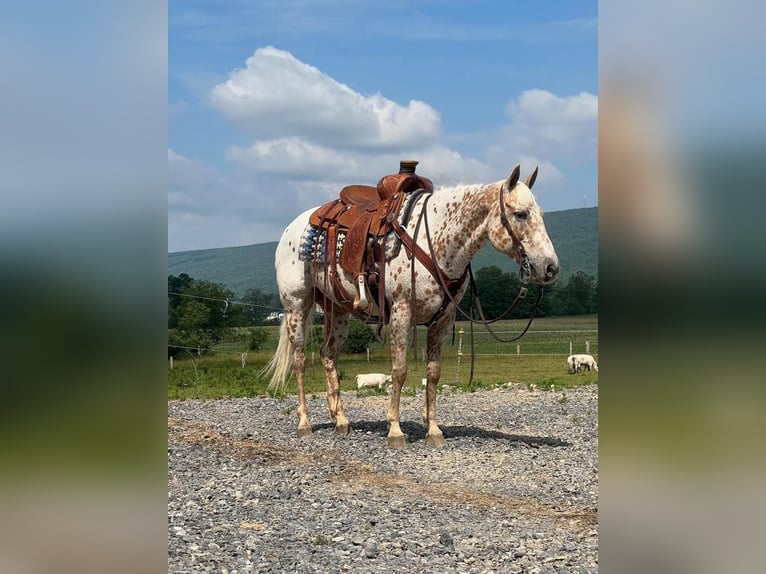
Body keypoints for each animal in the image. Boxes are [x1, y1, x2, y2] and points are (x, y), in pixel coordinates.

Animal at [262, 162, 560, 450]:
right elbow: (400, 370)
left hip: (339, 312)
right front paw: (395, 431)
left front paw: (434, 430)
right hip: (297, 305)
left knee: (328, 356)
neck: (435, 241)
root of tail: (292, 228)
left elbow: (433, 373)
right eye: (520, 214)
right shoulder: (401, 312)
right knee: (300, 361)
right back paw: (305, 423)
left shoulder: (444, 319)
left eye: (542, 214)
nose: (550, 267)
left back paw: (341, 420)